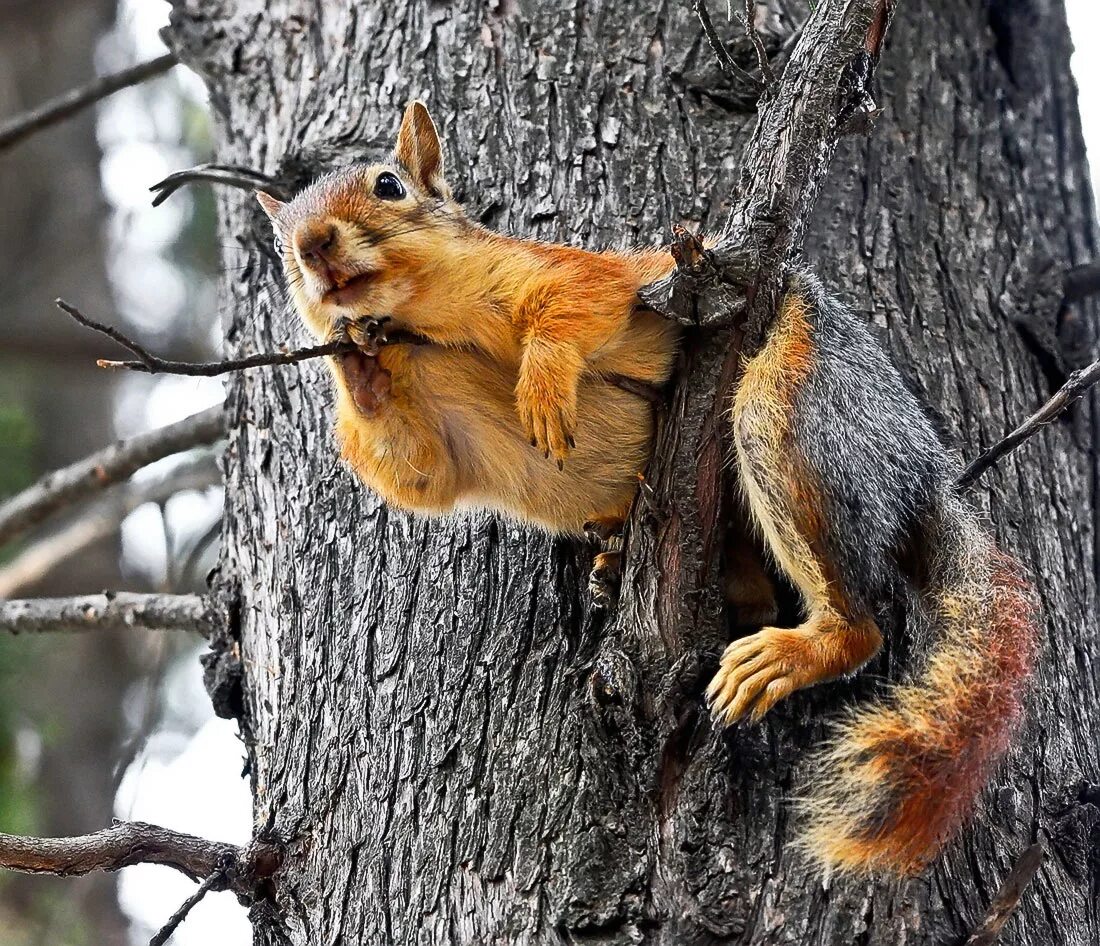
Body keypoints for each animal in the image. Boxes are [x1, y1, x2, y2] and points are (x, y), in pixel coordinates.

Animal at [257, 99, 1038, 875]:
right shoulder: (429, 419)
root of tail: (922, 469)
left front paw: (543, 381)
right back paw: (624, 552)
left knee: (858, 619)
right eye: (282, 241)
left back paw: (797, 646)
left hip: (795, 397)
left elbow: (577, 299)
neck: (426, 328)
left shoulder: (589, 274)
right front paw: (355, 358)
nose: (313, 246)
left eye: (388, 186)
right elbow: (421, 473)